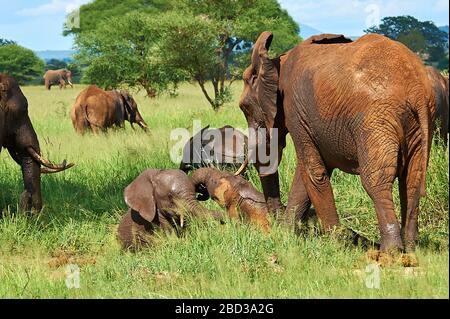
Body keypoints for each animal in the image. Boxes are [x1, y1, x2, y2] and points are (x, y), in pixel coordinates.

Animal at [236, 31, 436, 252]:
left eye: (244, 108)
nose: (274, 221)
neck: (275, 61)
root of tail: (416, 90)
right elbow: (308, 174)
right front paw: (287, 235)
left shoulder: (294, 110)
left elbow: (313, 171)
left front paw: (336, 242)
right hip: (419, 123)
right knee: (412, 178)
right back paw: (411, 247)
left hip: (375, 119)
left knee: (376, 180)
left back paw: (390, 251)